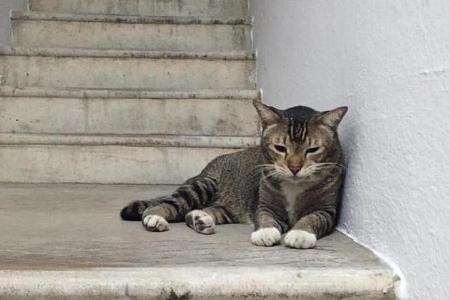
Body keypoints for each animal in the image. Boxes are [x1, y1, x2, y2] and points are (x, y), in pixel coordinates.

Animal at [118, 98, 346, 248]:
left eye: (312, 150)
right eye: (280, 148)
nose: (295, 168)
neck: (294, 186)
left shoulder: (326, 210)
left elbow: (312, 219)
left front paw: (299, 234)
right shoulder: (265, 205)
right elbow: (265, 218)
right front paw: (265, 232)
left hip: (227, 207)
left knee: (198, 211)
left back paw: (200, 219)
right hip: (203, 185)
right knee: (167, 205)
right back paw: (155, 218)